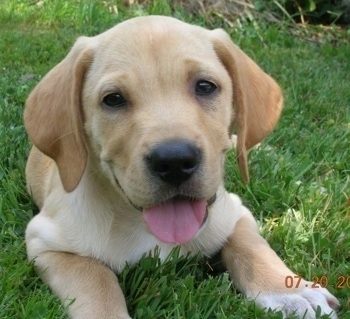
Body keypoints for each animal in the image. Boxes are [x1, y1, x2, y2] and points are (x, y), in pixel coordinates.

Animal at [23, 15, 340, 319]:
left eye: (205, 86)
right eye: (113, 99)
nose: (174, 161)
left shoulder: (236, 213)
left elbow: (253, 247)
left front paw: (289, 293)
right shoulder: (46, 243)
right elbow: (96, 281)